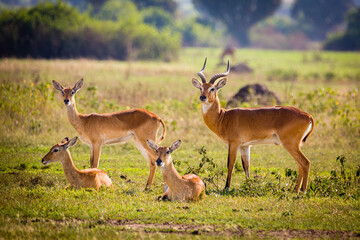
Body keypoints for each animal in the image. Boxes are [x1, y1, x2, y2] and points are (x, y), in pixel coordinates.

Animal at [191, 58, 316, 193]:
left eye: (212, 88)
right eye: (201, 87)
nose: (202, 97)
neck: (223, 117)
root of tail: (308, 116)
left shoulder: (234, 143)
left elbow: (230, 163)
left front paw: (226, 187)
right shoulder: (245, 146)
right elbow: (246, 166)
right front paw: (248, 186)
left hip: (290, 144)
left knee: (305, 163)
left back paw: (302, 191)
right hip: (295, 145)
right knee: (300, 164)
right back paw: (295, 190)